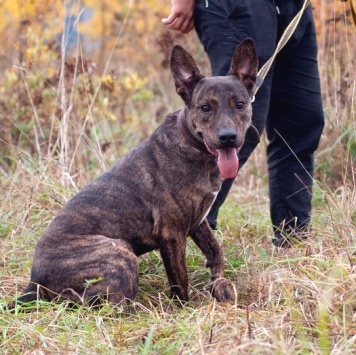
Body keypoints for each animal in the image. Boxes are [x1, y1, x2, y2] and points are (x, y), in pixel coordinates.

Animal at [16, 38, 258, 306]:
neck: (194, 146)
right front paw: (184, 307)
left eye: (240, 104)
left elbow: (215, 250)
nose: (228, 137)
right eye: (205, 108)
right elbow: (180, 279)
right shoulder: (171, 233)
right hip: (119, 252)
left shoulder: (198, 221)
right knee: (108, 303)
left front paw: (219, 283)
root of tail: (35, 283)